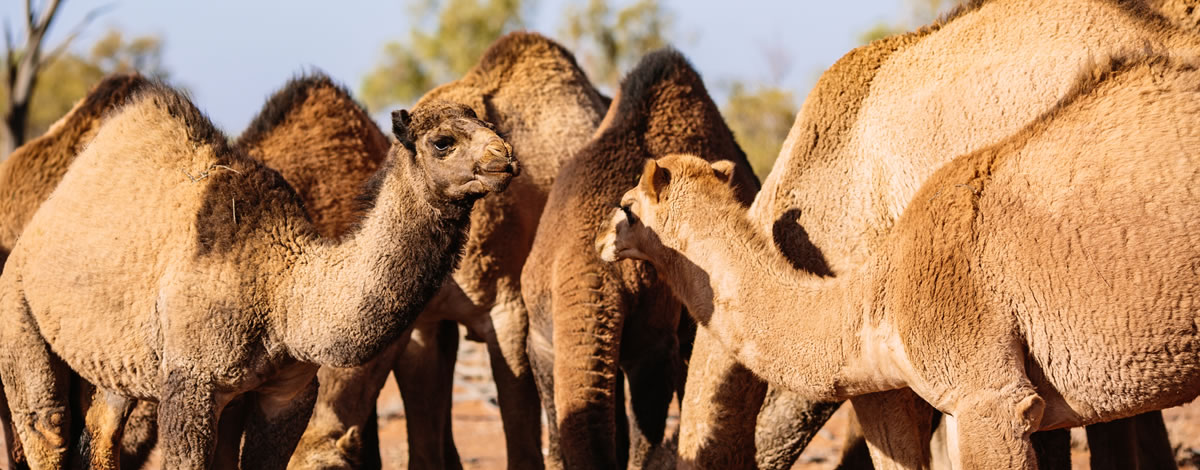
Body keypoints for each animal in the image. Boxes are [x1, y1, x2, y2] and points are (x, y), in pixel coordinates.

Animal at [0, 82, 516, 469]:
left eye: (491, 126)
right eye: (442, 141)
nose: (505, 157)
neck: (283, 293)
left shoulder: (289, 392)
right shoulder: (191, 383)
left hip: (112, 364)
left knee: (102, 430)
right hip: (17, 308)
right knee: (46, 425)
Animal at [280, 32, 610, 470]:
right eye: (441, 142)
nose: (503, 156)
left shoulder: (508, 311)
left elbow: (521, 441)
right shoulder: (421, 326)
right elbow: (424, 445)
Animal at [520, 48, 760, 469]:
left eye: (644, 282)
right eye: (541, 286)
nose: (604, 242)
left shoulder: (655, 343)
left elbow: (645, 429)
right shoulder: (542, 342)